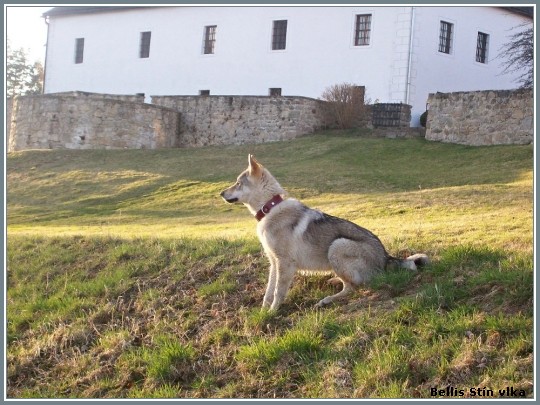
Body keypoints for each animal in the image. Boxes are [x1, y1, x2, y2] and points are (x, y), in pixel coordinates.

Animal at [220, 155, 430, 310]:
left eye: (238, 183)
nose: (221, 193)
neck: (270, 207)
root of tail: (386, 257)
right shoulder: (274, 262)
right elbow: (268, 291)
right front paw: (263, 311)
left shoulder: (284, 263)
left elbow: (279, 292)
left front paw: (272, 313)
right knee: (351, 282)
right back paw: (333, 280)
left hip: (336, 246)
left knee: (354, 287)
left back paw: (326, 299)